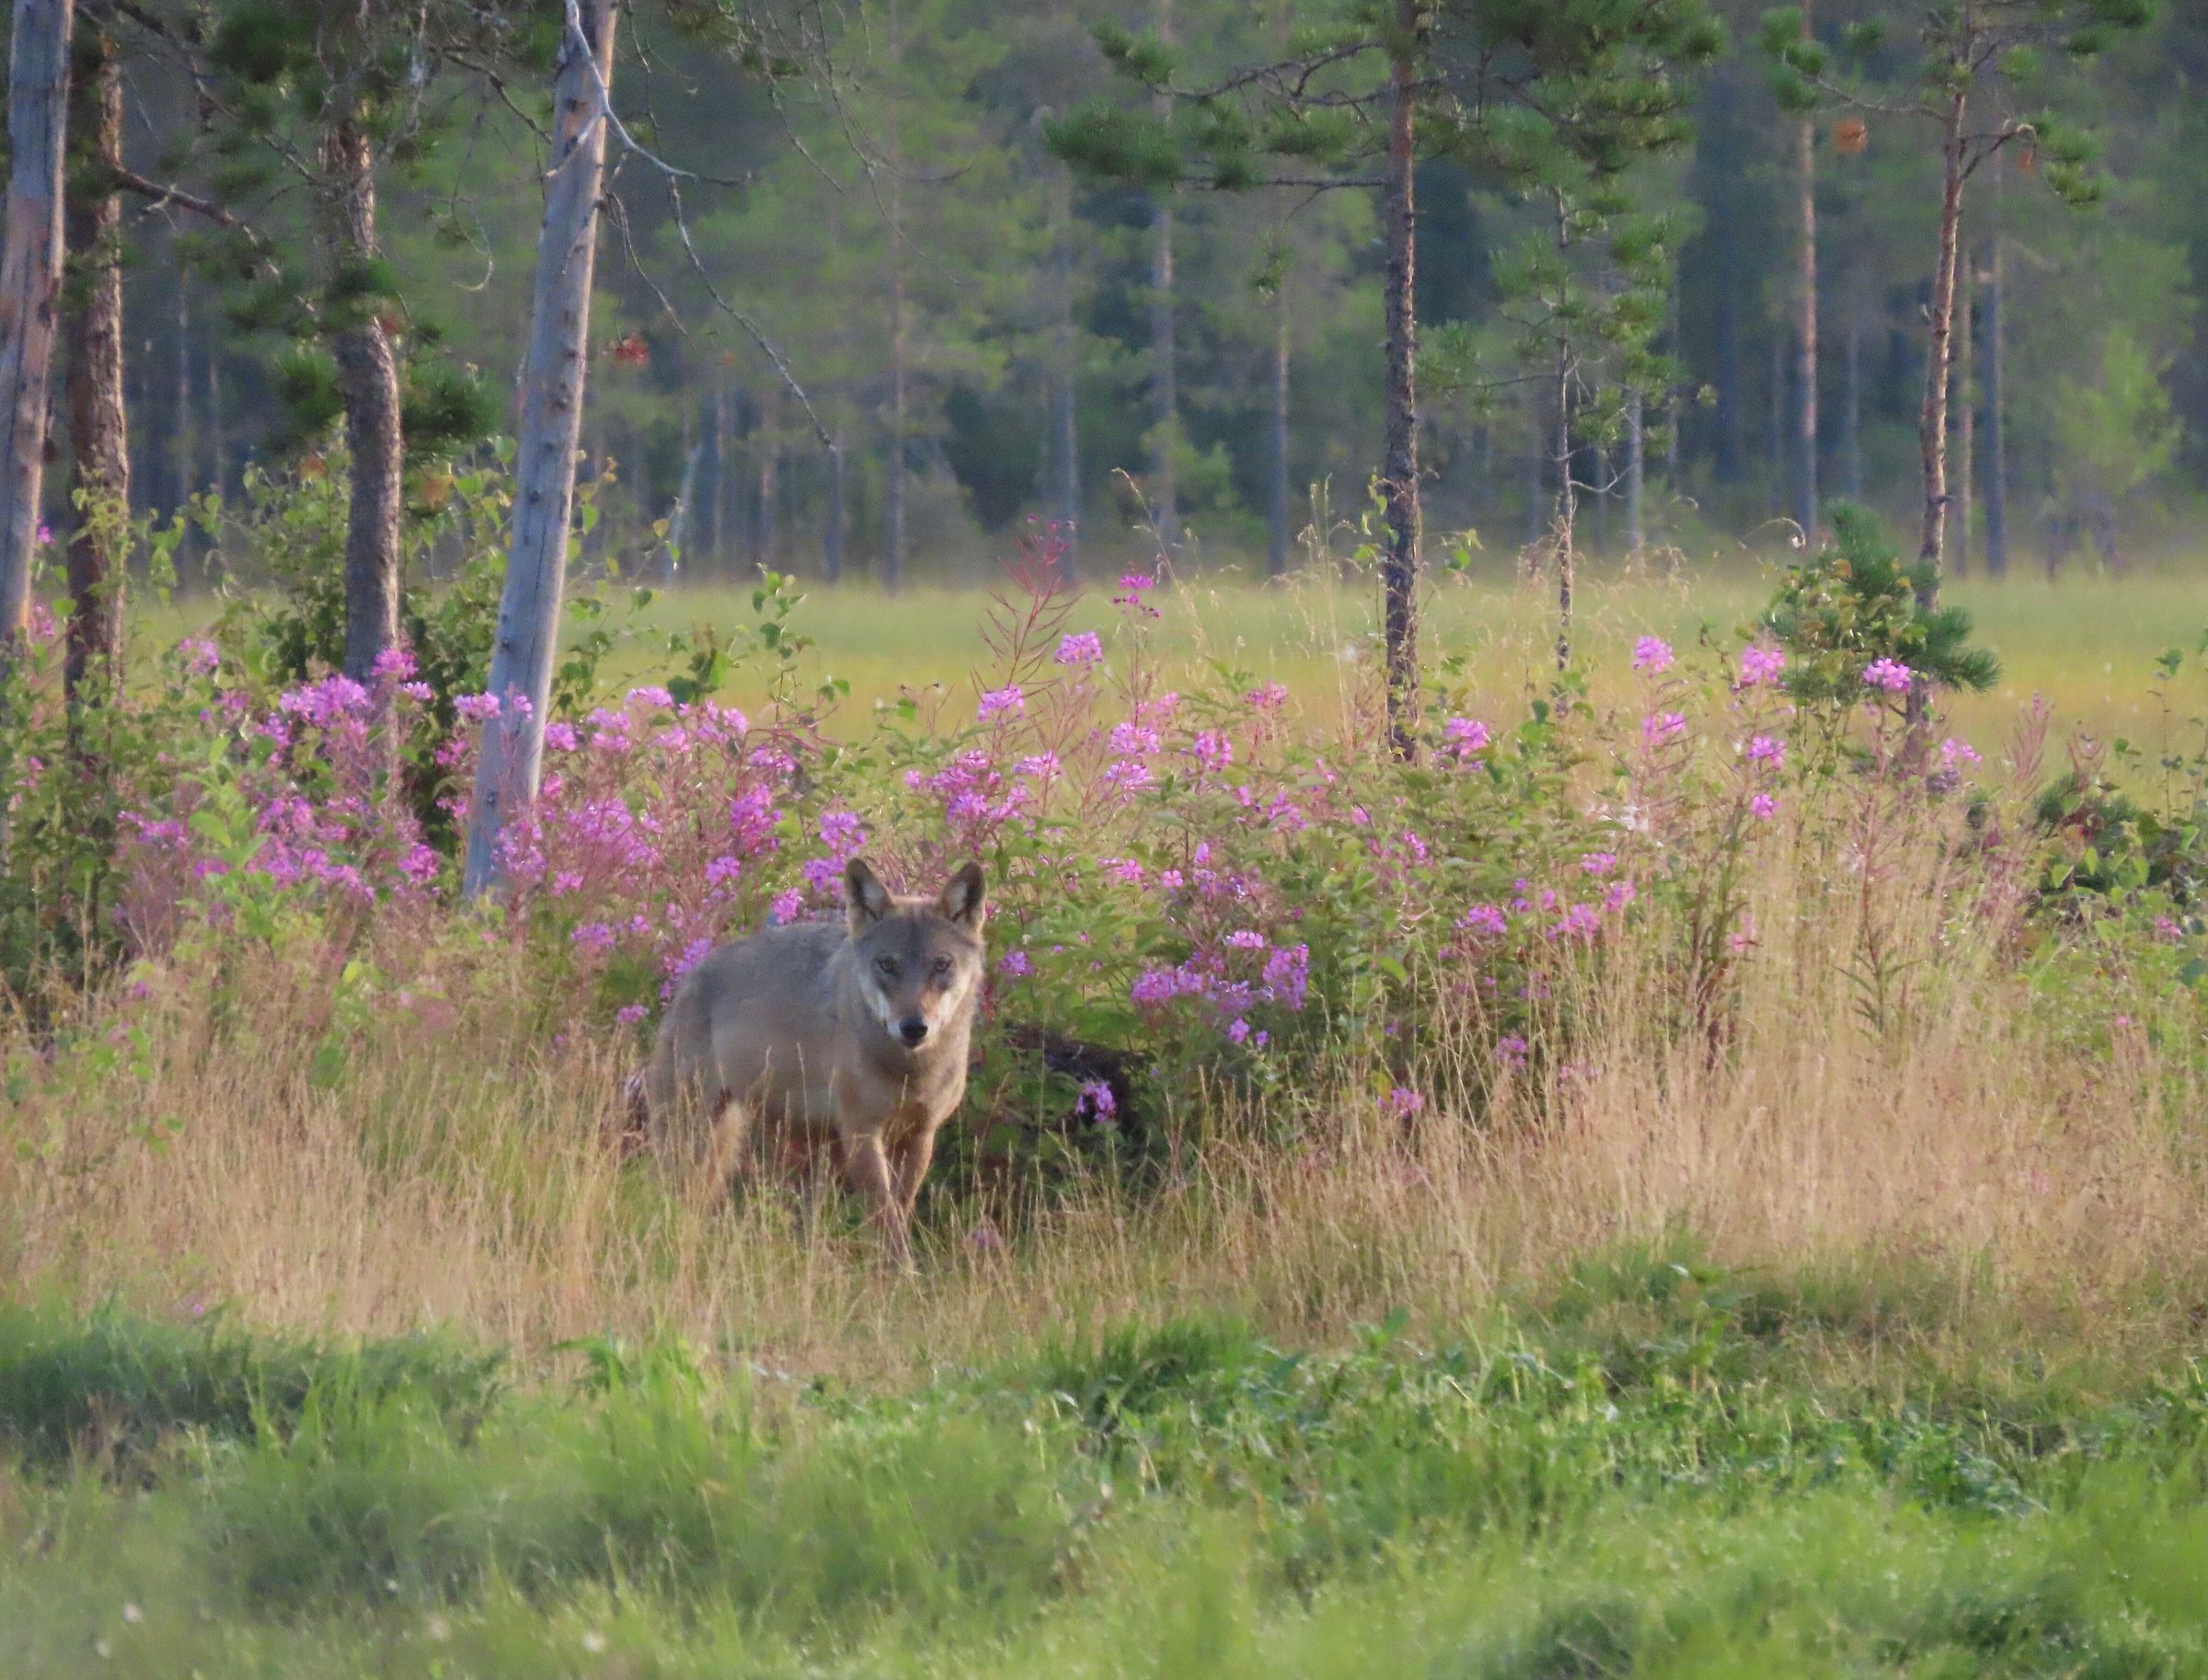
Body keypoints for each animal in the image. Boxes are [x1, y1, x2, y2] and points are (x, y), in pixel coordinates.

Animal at [640, 852, 984, 1253]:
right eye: (886, 964)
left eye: (942, 965)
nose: (914, 1027)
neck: (910, 1073)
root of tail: (690, 974)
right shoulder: (861, 1134)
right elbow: (888, 1225)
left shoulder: (920, 1136)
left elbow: (898, 1213)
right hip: (688, 1135)